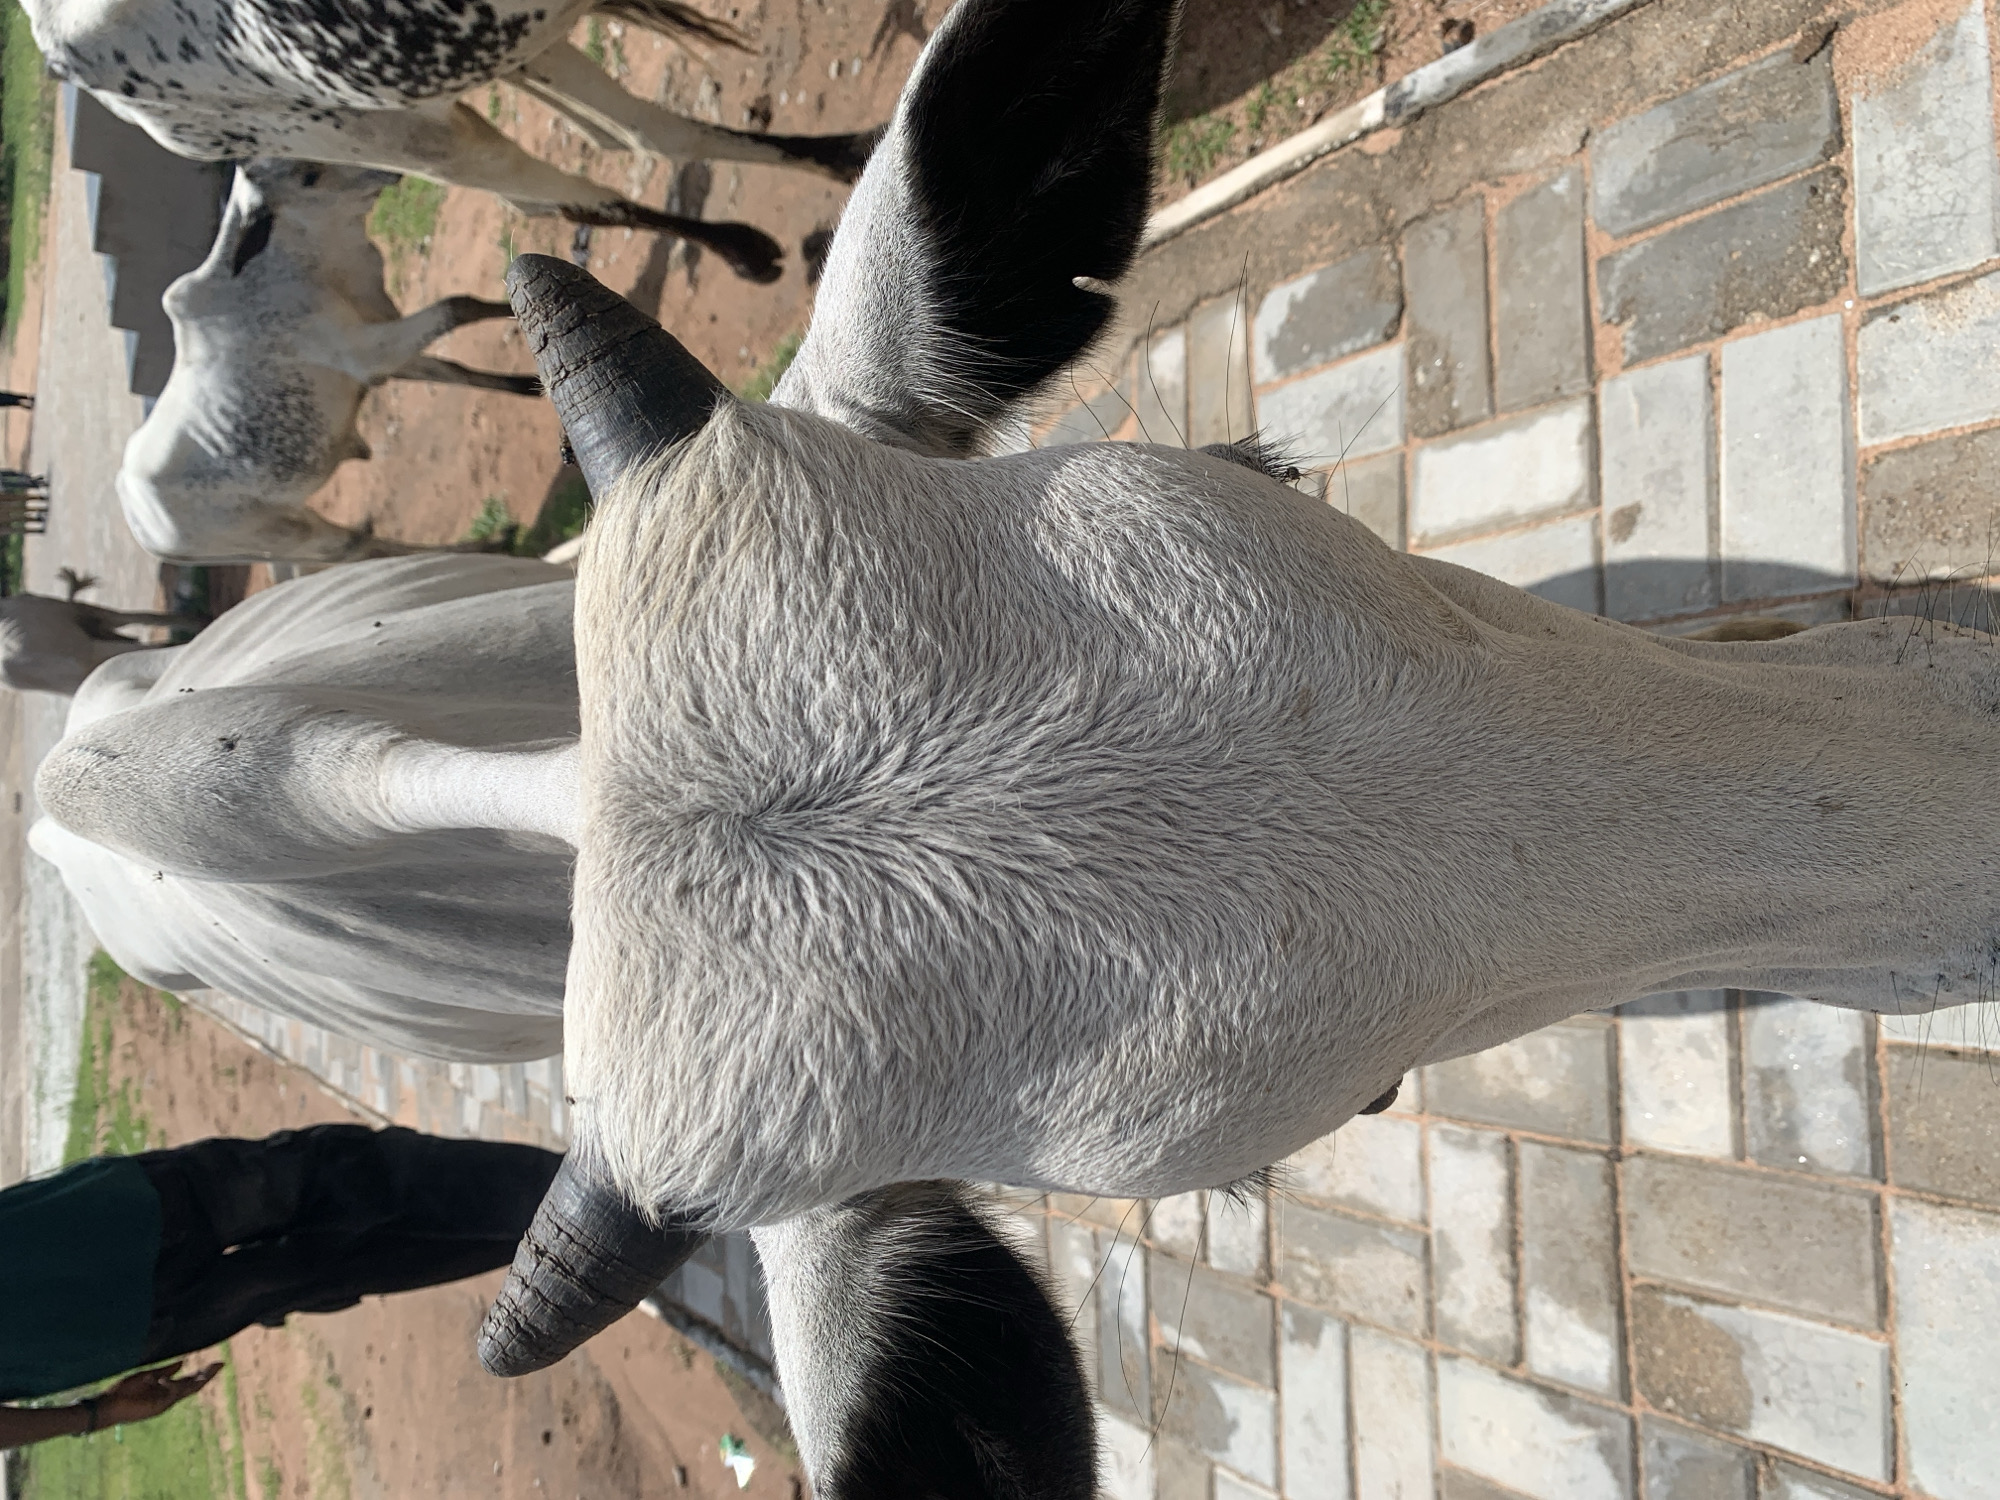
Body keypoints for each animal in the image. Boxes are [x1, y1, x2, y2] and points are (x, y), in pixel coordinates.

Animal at [23, 0, 881, 282]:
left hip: (479, 65)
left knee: (644, 130)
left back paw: (846, 160)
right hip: (381, 131)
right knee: (563, 194)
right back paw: (748, 247)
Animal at [120, 161, 544, 565]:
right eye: (309, 176)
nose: (385, 169)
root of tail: (141, 525)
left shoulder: (382, 361)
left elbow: (458, 371)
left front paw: (527, 383)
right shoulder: (371, 350)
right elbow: (459, 305)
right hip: (296, 534)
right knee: (359, 548)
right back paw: (490, 545)